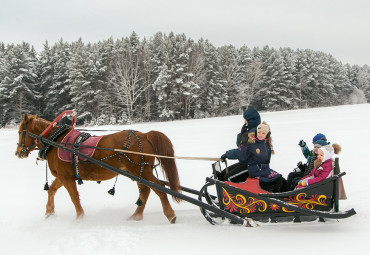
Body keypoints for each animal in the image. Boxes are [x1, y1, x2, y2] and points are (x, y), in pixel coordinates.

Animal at [15, 113, 181, 223]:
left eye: (19, 132)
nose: (18, 152)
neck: (55, 141)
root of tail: (145, 135)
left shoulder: (66, 178)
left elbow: (74, 197)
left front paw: (80, 218)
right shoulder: (63, 177)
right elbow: (52, 190)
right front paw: (49, 212)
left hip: (142, 171)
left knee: (159, 188)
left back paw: (170, 214)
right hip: (138, 172)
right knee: (145, 191)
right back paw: (136, 216)